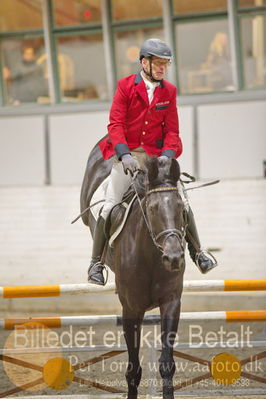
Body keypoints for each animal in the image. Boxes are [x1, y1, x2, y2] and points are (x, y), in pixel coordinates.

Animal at [80, 143, 186, 399]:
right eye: (153, 208)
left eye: (181, 208)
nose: (174, 258)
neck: (151, 257)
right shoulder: (131, 308)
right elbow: (133, 369)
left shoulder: (171, 302)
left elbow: (167, 364)